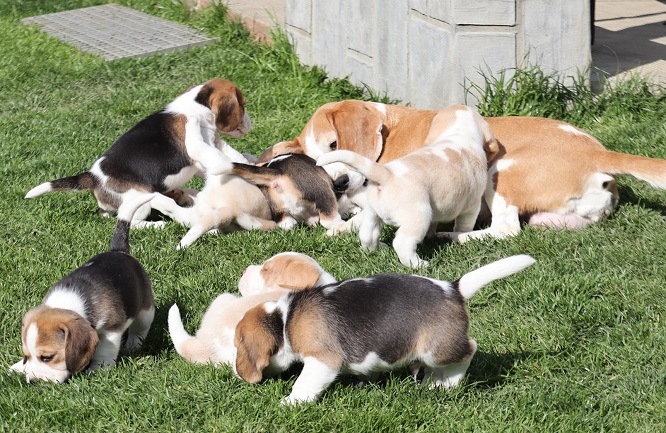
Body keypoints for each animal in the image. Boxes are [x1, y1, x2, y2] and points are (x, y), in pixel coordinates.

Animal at [10, 194, 156, 383]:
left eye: (47, 357)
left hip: (146, 310)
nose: (33, 381)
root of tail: (119, 251)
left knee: (140, 328)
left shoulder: (112, 328)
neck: (67, 302)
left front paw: (98, 370)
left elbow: (104, 351)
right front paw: (18, 367)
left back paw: (133, 345)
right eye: (26, 356)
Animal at [25, 78, 251, 226]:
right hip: (140, 202)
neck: (196, 105)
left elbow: (231, 155)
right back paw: (157, 225)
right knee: (131, 222)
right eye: (242, 104)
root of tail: (93, 177)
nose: (250, 123)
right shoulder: (200, 156)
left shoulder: (211, 145)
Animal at [233, 254, 536, 405]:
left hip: (437, 349)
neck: (285, 318)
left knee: (470, 349)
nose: (235, 373)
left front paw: (292, 402)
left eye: (237, 344)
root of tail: (453, 289)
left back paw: (449, 384)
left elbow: (305, 382)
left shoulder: (323, 360)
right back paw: (430, 383)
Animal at [258, 100, 666, 238]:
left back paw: (452, 236)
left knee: (505, 230)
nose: (340, 183)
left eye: (334, 145)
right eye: (320, 163)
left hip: (499, 171)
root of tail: (599, 152)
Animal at [317, 105, 498, 268]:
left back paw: (377, 249)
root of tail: (386, 174)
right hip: (419, 216)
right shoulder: (471, 206)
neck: (458, 134)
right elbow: (463, 226)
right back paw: (419, 264)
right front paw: (458, 234)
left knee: (367, 235)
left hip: (372, 214)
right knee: (402, 243)